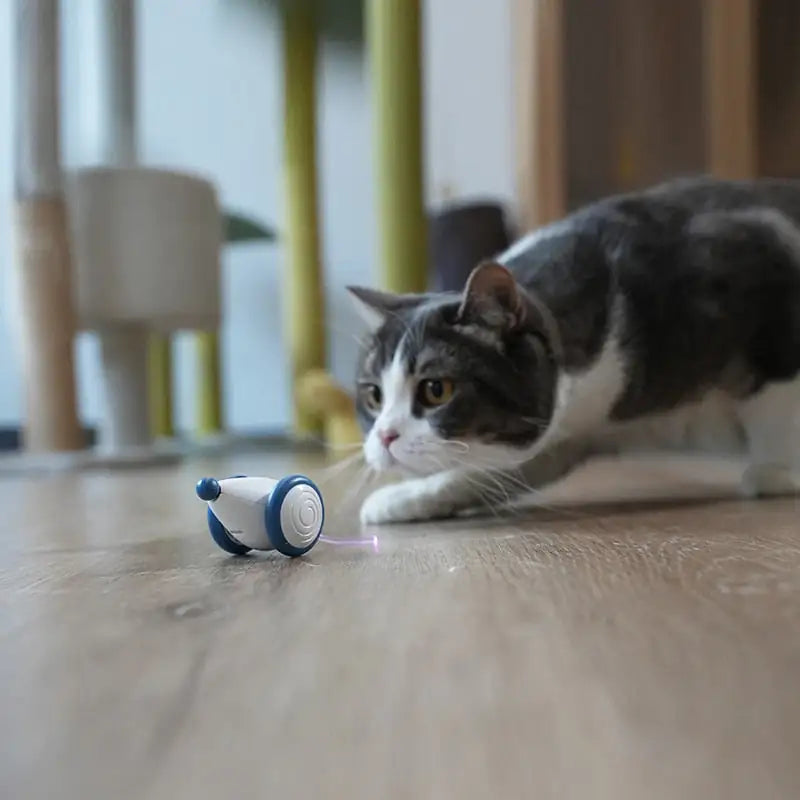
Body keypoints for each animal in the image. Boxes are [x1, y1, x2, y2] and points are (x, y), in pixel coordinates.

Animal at [346, 176, 800, 524]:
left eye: (436, 389)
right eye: (373, 396)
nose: (384, 435)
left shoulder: (761, 263)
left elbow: (778, 397)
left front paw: (779, 471)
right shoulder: (567, 432)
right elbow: (501, 468)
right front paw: (403, 498)